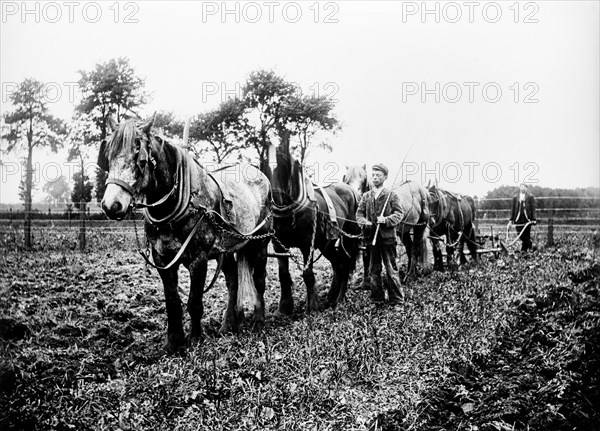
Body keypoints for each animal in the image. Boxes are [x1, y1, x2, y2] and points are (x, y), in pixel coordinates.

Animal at [99, 116, 272, 352]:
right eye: (108, 157)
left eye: (140, 160)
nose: (111, 205)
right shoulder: (162, 259)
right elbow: (173, 302)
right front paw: (174, 342)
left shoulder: (198, 258)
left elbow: (194, 303)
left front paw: (196, 339)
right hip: (225, 250)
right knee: (232, 281)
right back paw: (229, 325)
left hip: (260, 241)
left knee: (259, 280)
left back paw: (259, 322)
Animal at [262, 133, 356, 312]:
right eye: (265, 168)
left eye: (283, 166)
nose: (272, 201)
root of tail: (349, 189)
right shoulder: (278, 246)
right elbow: (283, 275)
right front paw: (284, 307)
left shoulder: (307, 244)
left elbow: (308, 274)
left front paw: (313, 305)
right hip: (325, 242)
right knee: (337, 263)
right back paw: (332, 295)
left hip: (347, 235)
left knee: (345, 263)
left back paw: (340, 298)